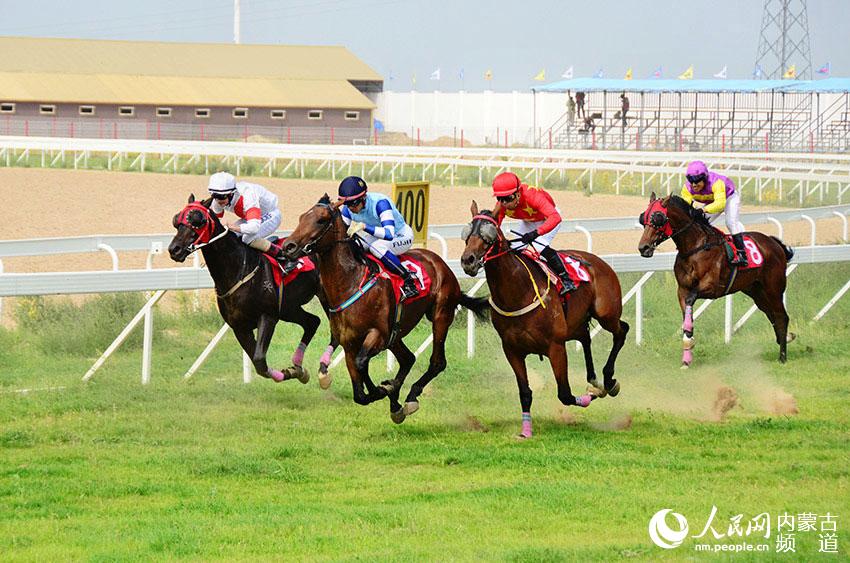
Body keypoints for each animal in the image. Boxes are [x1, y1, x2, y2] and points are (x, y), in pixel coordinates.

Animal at [168, 196, 334, 386]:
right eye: (176, 221)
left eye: (198, 220)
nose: (174, 249)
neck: (239, 269)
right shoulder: (239, 326)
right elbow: (259, 364)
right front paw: (294, 372)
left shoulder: (267, 317)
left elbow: (259, 359)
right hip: (288, 308)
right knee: (312, 322)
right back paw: (299, 366)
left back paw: (324, 371)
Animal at [282, 194, 486, 424]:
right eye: (301, 217)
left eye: (321, 220)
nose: (288, 246)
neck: (351, 281)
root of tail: (441, 264)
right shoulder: (349, 343)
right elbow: (359, 393)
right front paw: (386, 391)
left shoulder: (377, 334)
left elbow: (362, 363)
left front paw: (382, 389)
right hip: (396, 334)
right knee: (408, 358)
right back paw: (397, 402)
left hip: (441, 315)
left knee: (437, 362)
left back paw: (410, 397)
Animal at [458, 200, 628, 438]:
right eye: (467, 234)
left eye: (488, 236)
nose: (468, 260)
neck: (518, 292)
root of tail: (599, 261)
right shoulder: (512, 350)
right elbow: (525, 393)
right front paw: (525, 431)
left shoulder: (556, 347)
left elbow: (565, 394)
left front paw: (591, 396)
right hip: (574, 324)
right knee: (586, 338)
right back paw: (596, 380)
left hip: (606, 315)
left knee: (622, 330)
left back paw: (609, 381)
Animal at [636, 194, 796, 368]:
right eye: (643, 217)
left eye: (658, 217)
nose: (643, 247)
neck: (695, 248)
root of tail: (775, 244)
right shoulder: (682, 290)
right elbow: (686, 316)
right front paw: (686, 356)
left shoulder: (712, 288)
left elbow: (691, 300)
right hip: (757, 293)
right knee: (771, 314)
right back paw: (785, 339)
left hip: (773, 289)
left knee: (781, 317)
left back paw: (782, 357)